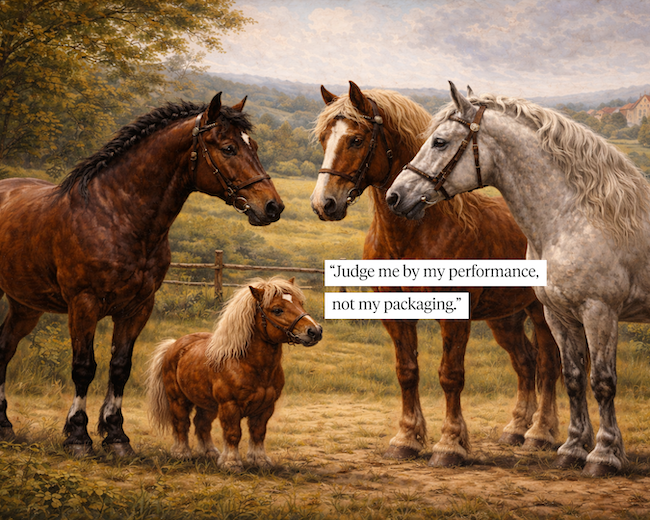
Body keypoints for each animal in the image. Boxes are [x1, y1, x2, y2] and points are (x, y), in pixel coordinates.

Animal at [0, 92, 284, 456]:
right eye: (229, 148)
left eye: (255, 146)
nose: (273, 207)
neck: (117, 216)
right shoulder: (83, 305)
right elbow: (83, 368)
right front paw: (78, 436)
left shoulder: (137, 308)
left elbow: (120, 368)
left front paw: (116, 436)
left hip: (25, 305)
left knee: (5, 347)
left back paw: (4, 424)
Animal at [146, 277, 322, 470]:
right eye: (277, 309)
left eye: (300, 303)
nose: (315, 331)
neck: (248, 364)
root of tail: (173, 344)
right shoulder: (230, 406)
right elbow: (233, 433)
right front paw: (231, 462)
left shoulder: (266, 408)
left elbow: (258, 433)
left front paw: (260, 460)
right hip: (178, 399)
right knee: (181, 423)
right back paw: (182, 453)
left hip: (207, 404)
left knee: (202, 424)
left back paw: (209, 452)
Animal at [310, 81, 562, 467]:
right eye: (325, 138)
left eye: (355, 139)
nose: (324, 204)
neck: (417, 232)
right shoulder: (395, 313)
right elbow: (406, 371)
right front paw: (406, 439)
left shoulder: (455, 316)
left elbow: (450, 376)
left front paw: (450, 444)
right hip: (505, 318)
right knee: (525, 362)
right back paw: (516, 429)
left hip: (540, 312)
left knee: (548, 364)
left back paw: (540, 434)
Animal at [387, 81, 650, 476]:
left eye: (440, 142)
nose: (395, 196)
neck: (578, 218)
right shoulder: (560, 315)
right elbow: (573, 378)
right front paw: (572, 450)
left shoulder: (600, 313)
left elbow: (602, 382)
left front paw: (604, 456)